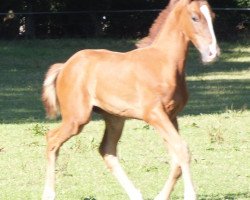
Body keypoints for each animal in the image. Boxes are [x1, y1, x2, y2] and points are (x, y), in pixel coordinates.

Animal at [42, 0, 220, 199]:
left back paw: (135, 194)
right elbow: (182, 150)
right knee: (52, 139)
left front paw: (161, 196)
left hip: (114, 118)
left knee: (107, 150)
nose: (213, 53)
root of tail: (65, 65)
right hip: (77, 118)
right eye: (195, 17)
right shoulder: (155, 115)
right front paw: (189, 195)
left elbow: (175, 159)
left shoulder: (171, 116)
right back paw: (48, 193)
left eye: (213, 17)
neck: (164, 63)